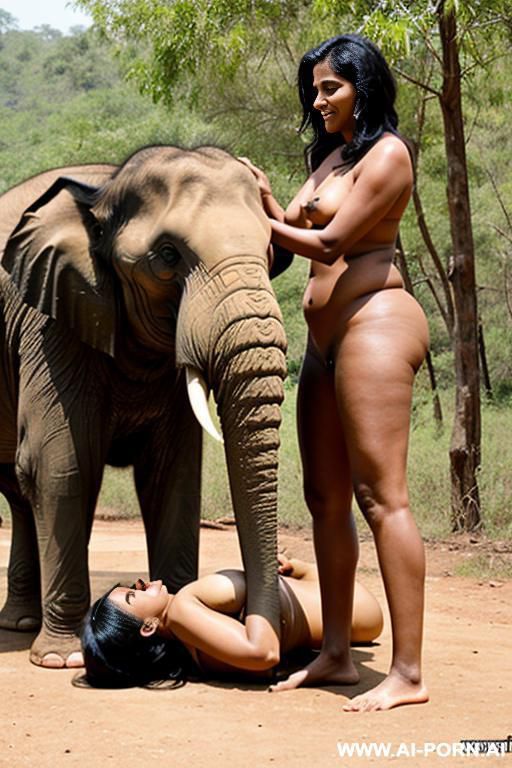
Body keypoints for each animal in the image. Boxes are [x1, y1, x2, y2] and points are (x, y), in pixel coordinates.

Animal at [0, 145, 288, 668]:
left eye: (272, 252)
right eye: (167, 257)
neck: (106, 191)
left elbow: (173, 474)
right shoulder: (50, 318)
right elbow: (60, 463)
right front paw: (61, 659)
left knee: (15, 488)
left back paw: (20, 624)